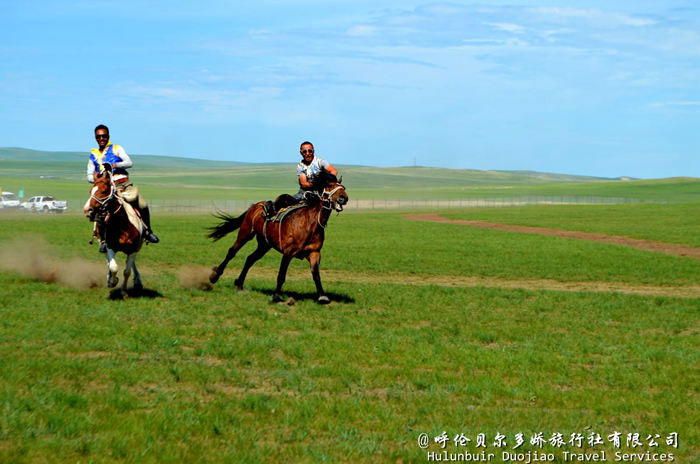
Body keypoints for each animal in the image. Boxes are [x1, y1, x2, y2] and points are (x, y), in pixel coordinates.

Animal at [208, 176, 350, 302]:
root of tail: (255, 206)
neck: (310, 223)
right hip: (245, 233)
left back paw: (239, 284)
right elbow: (281, 275)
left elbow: (316, 274)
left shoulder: (314, 253)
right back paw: (214, 276)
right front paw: (276, 296)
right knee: (232, 252)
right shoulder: (288, 252)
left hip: (264, 244)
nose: (344, 198)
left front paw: (322, 296)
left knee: (250, 259)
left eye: (343, 187)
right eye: (330, 186)